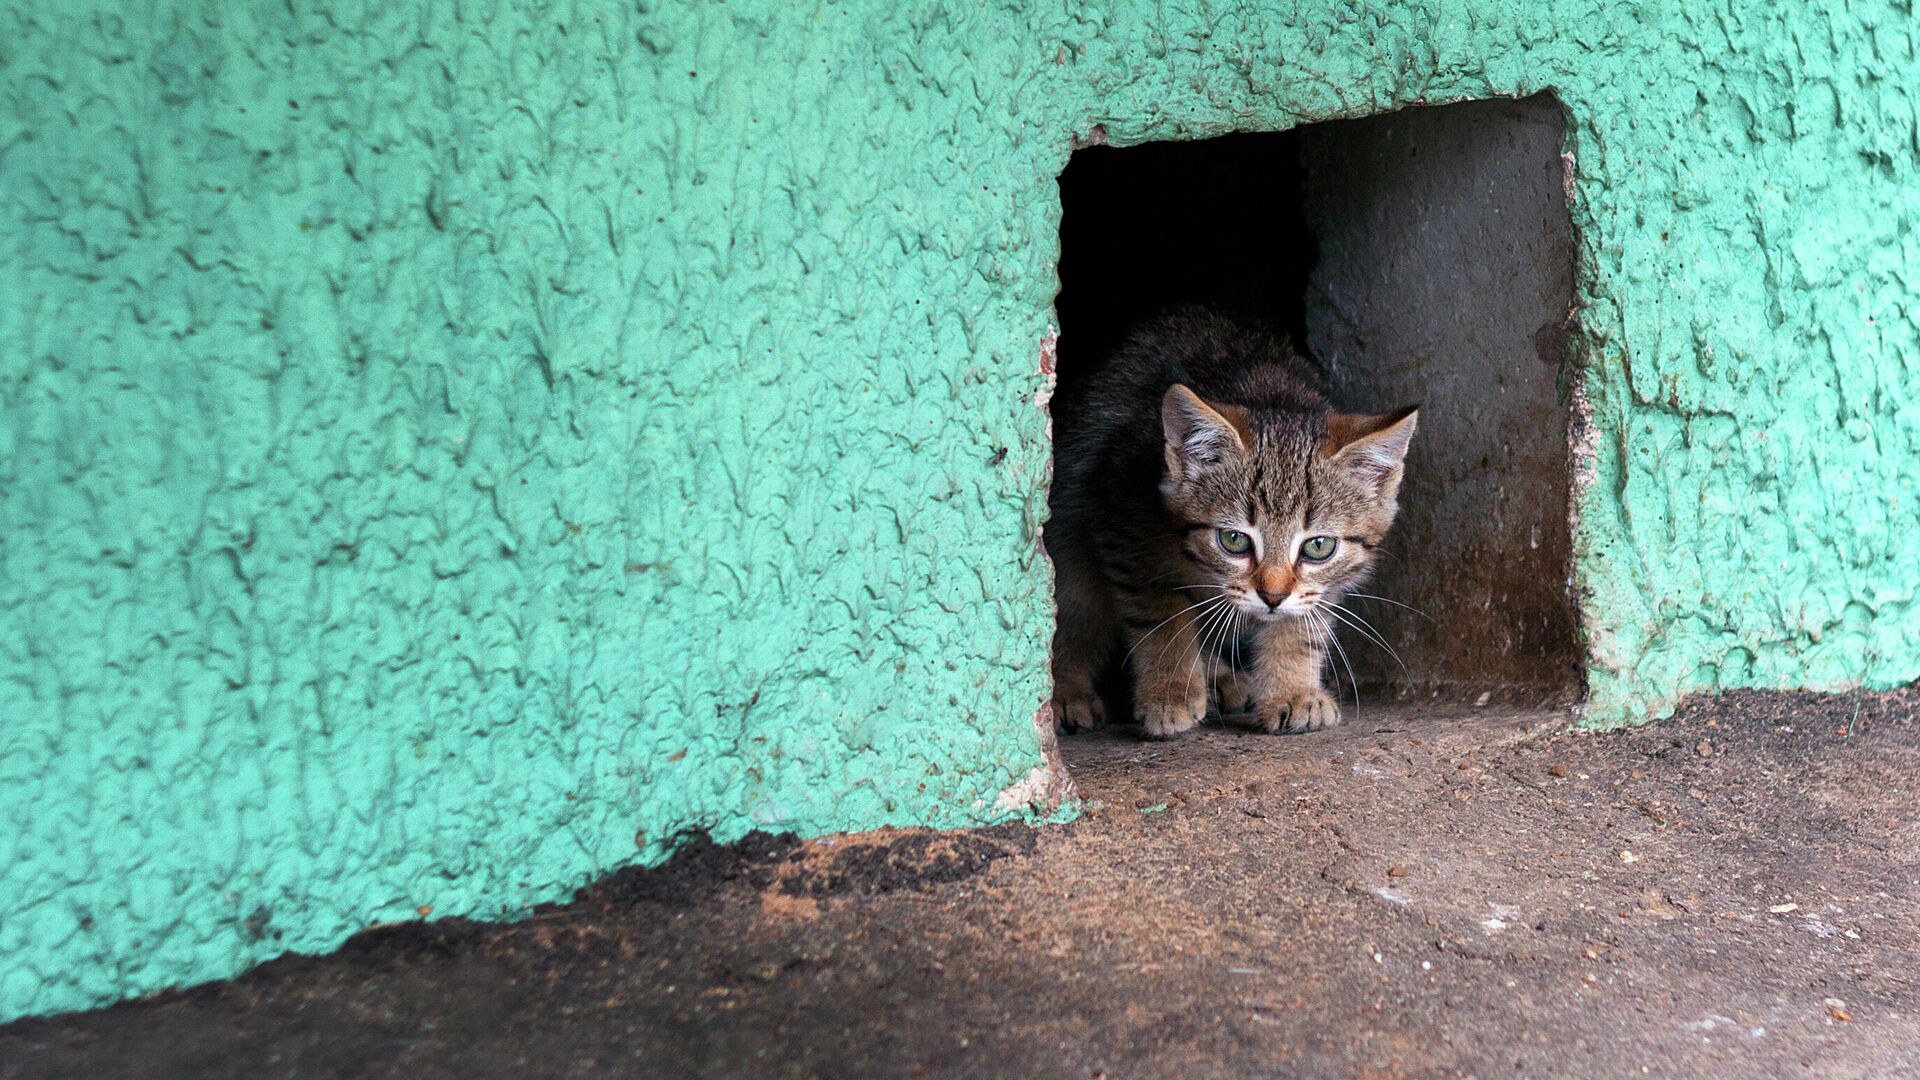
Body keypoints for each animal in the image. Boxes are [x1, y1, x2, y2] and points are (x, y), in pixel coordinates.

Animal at [1044, 307, 1420, 734]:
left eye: (1318, 546)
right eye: (1234, 540)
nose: (1272, 596)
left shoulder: (1321, 585)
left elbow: (1301, 623)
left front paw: (1292, 690)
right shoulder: (1120, 524)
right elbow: (1162, 615)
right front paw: (1171, 691)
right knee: (1073, 608)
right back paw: (1067, 692)